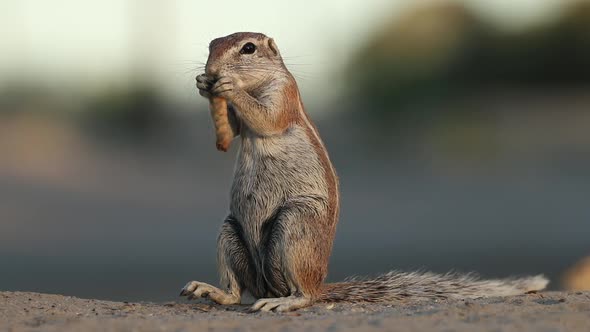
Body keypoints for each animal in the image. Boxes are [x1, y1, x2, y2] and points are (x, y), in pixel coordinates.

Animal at [179, 32, 552, 312]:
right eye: (211, 44)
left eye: (248, 48)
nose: (211, 69)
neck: (257, 83)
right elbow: (232, 133)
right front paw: (202, 83)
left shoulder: (283, 94)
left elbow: (266, 118)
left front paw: (228, 86)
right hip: (230, 232)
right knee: (236, 292)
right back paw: (212, 290)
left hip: (296, 224)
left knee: (303, 295)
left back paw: (284, 302)